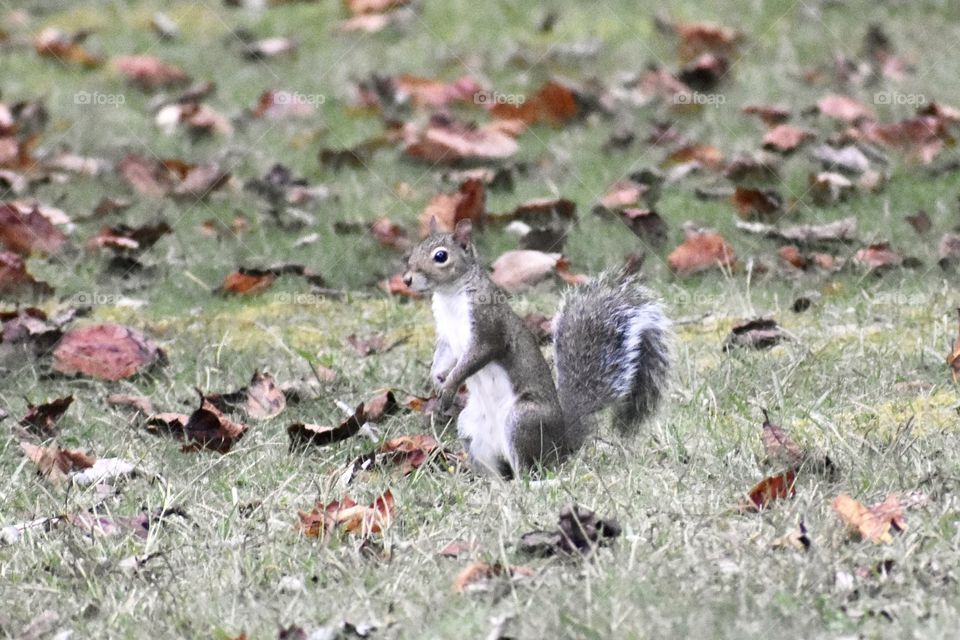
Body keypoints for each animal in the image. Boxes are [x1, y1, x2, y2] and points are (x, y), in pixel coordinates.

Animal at [402, 219, 672, 476]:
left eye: (440, 256)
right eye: (413, 249)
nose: (406, 280)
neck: (449, 296)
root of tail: (561, 443)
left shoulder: (488, 329)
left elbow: (474, 358)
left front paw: (449, 385)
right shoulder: (447, 338)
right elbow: (444, 357)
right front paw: (437, 379)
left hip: (522, 420)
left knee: (529, 469)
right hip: (471, 428)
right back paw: (494, 485)